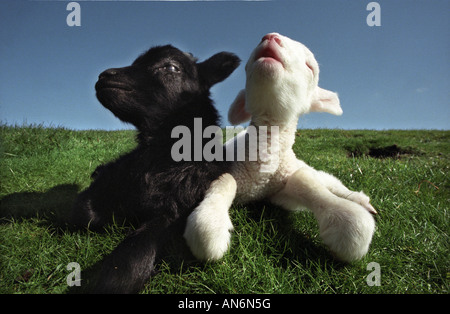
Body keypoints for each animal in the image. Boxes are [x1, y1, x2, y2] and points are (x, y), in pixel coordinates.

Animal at [183, 32, 376, 262]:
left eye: (310, 67)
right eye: (246, 65)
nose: (270, 36)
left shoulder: (282, 188)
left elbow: (308, 184)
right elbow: (226, 182)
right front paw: (212, 224)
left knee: (326, 179)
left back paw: (359, 198)